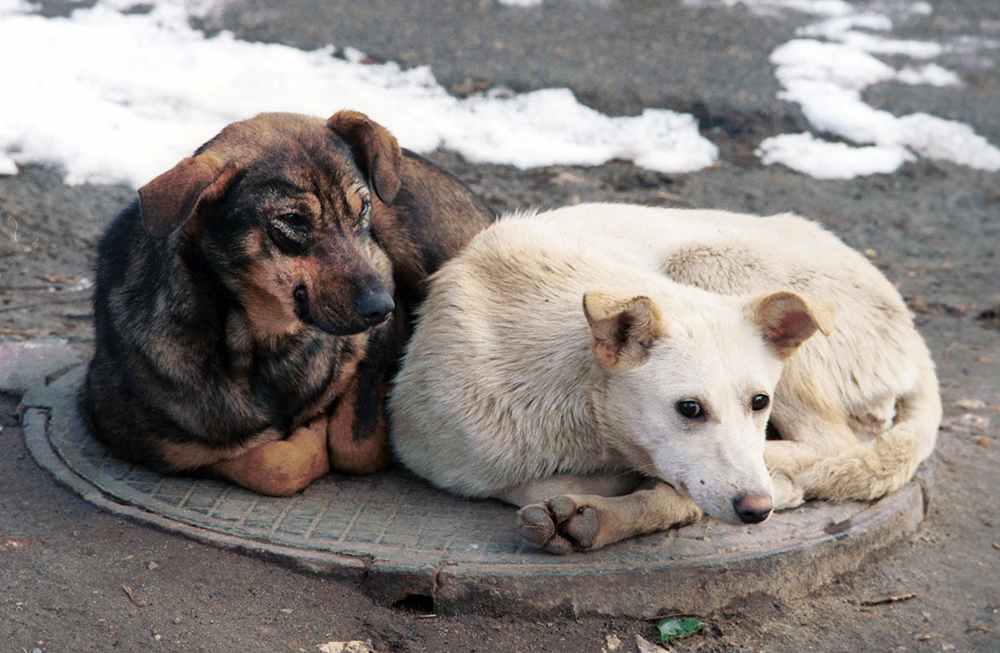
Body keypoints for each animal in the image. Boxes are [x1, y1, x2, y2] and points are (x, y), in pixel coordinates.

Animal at [81, 109, 492, 494]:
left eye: (362, 209)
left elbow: (354, 444)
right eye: (293, 219)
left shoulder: (380, 289)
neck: (262, 345)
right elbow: (272, 465)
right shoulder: (145, 439)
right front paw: (309, 432)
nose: (381, 307)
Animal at [388, 202, 936, 552]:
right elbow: (530, 484)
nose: (756, 509)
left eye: (760, 402)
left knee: (833, 442)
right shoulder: (436, 457)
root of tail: (914, 332)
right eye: (689, 408)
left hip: (710, 260)